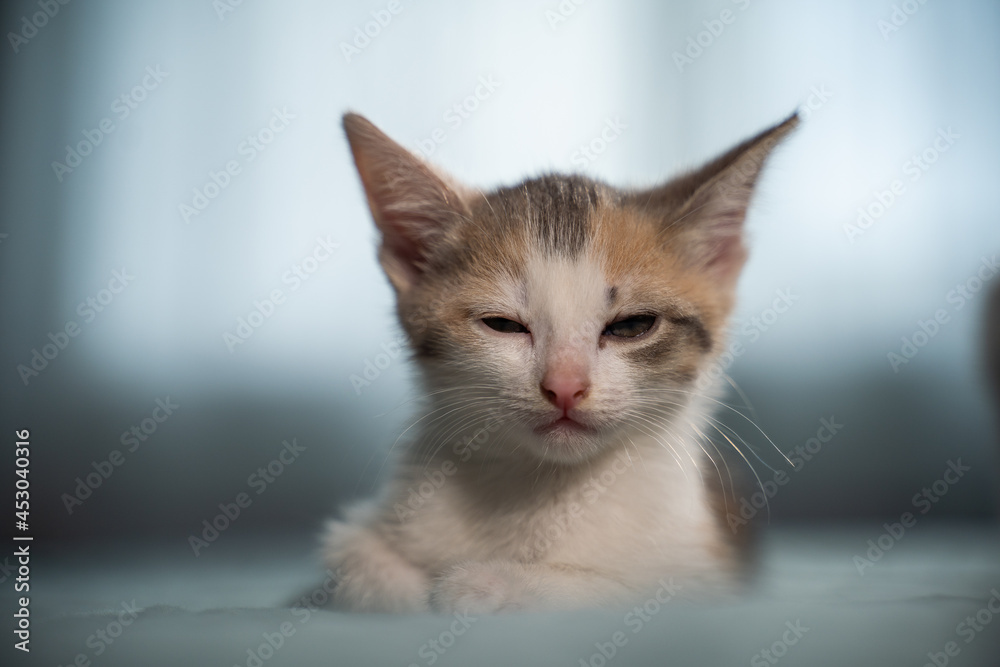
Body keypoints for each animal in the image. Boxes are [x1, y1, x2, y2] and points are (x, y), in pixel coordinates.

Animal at [324, 111, 800, 616]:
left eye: (632, 325)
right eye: (503, 324)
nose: (565, 386)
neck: (544, 489)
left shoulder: (711, 574)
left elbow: (628, 589)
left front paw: (490, 585)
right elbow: (349, 560)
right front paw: (401, 584)